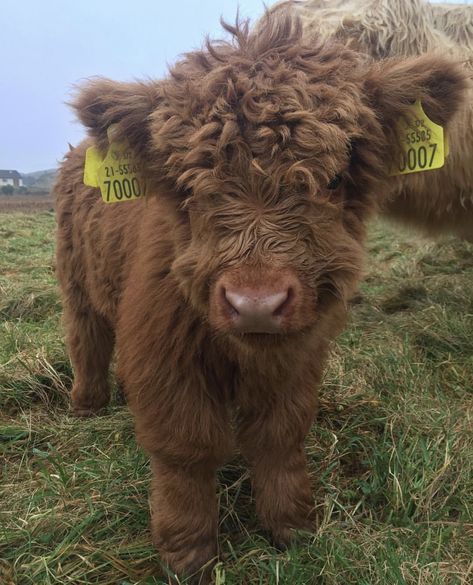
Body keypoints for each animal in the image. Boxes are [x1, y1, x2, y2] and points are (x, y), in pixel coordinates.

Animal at [54, 13, 464, 580]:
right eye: (188, 185)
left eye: (335, 177)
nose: (256, 302)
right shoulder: (163, 352)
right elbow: (185, 448)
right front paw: (188, 554)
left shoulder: (300, 355)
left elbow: (281, 435)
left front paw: (293, 527)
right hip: (76, 281)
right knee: (86, 338)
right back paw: (88, 405)